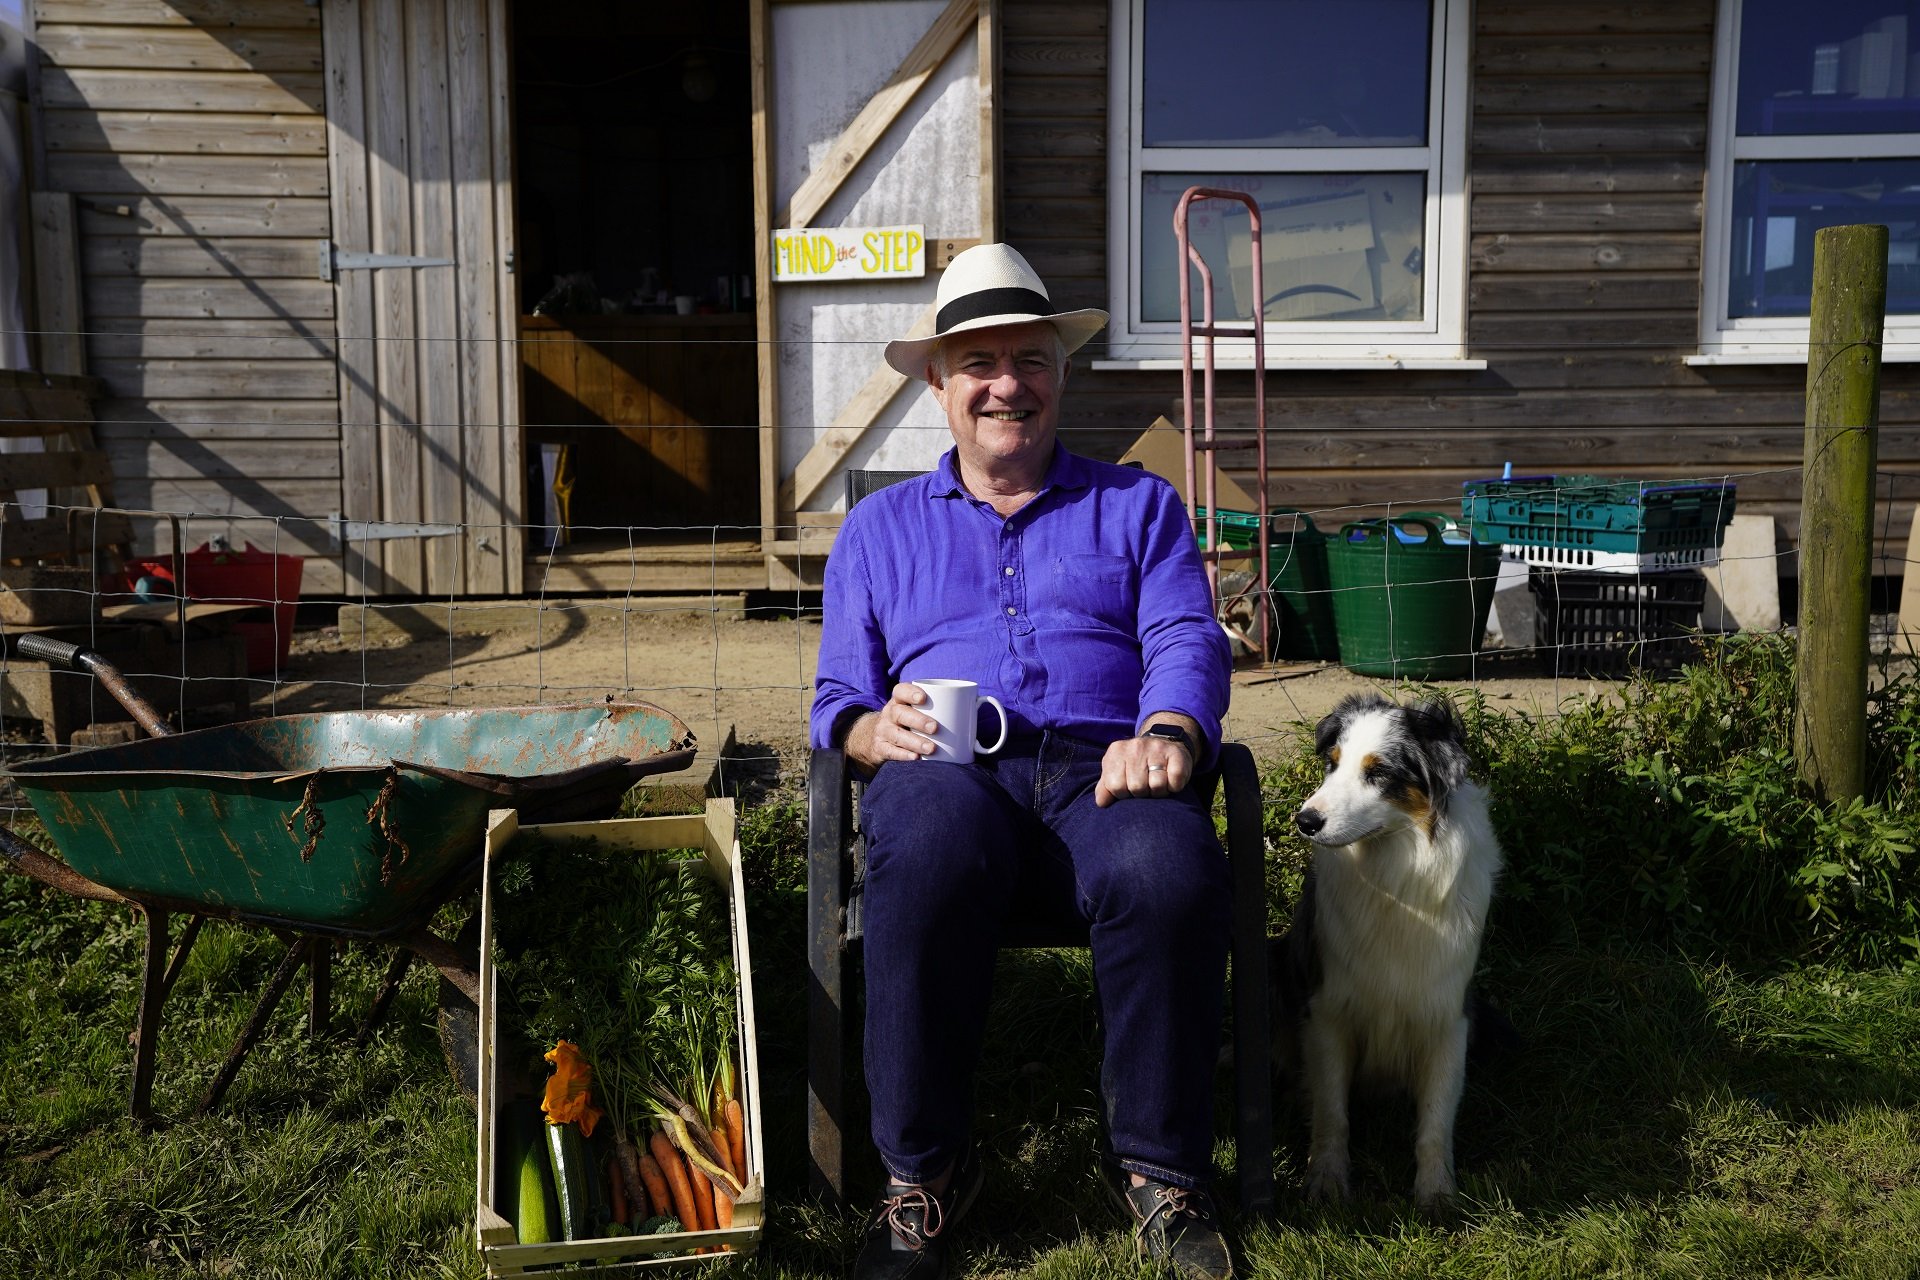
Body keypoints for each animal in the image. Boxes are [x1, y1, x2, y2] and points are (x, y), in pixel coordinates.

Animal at [1282, 694, 1505, 1205]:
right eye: (1332, 763)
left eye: (1378, 772)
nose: (1305, 821)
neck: (1392, 870)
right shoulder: (1327, 1010)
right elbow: (1331, 1110)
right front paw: (1326, 1180)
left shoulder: (1448, 1016)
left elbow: (1437, 1117)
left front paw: (1436, 1192)